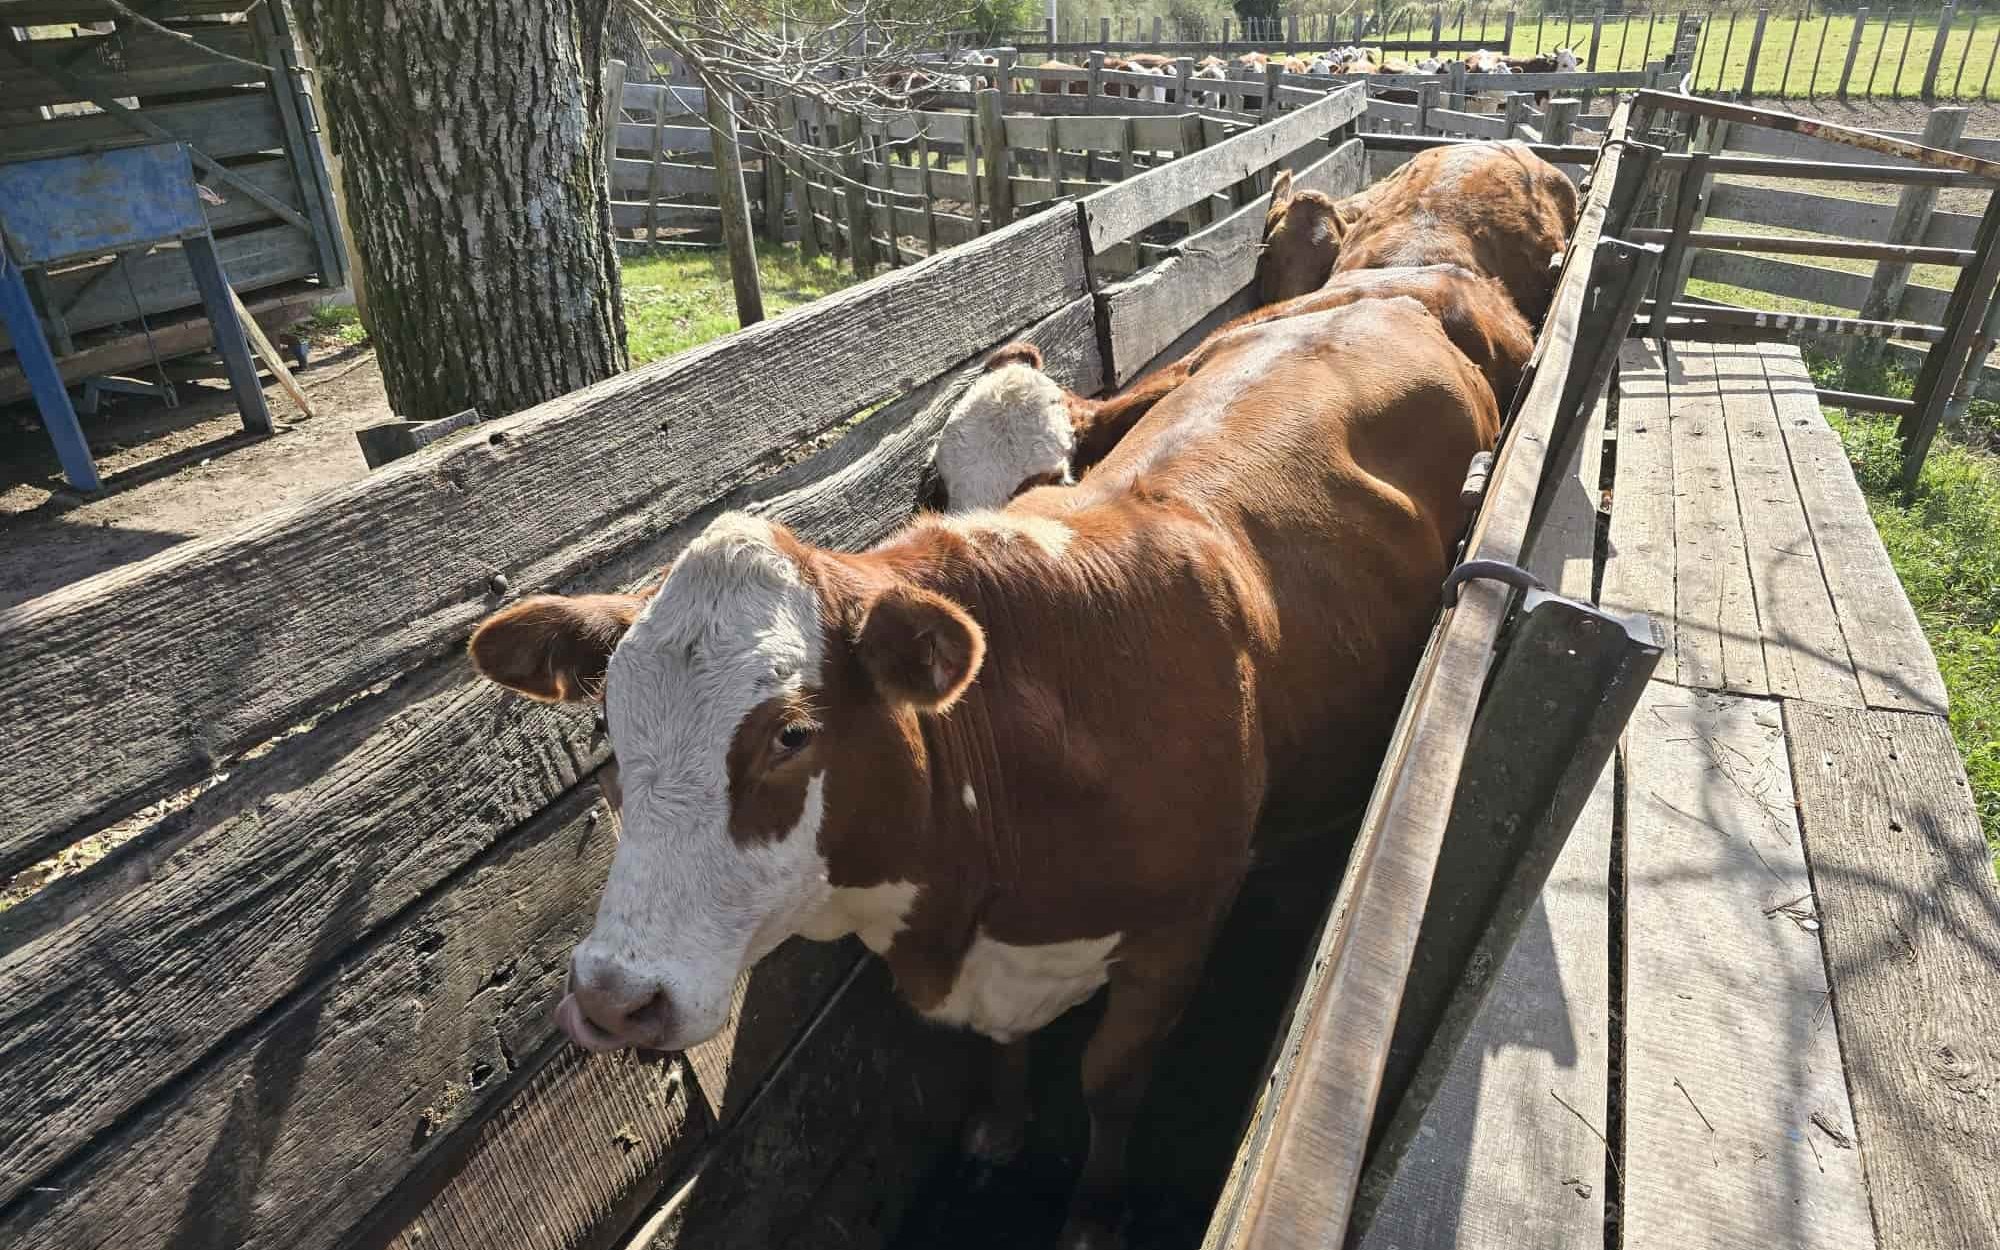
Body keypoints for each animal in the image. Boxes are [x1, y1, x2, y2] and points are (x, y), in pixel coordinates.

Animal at [468, 298, 1500, 1250]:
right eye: (608, 721)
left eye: (792, 734)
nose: (613, 997)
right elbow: (1004, 1048)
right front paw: (1001, 1128)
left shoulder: (1180, 930)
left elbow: (1110, 1077)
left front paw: (1094, 1213)